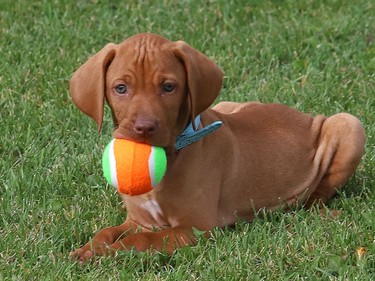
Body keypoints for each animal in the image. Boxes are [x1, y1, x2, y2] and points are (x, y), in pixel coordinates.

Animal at [69, 33, 366, 262]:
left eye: (168, 87)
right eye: (120, 88)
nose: (144, 128)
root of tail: (304, 116)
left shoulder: (194, 228)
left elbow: (142, 240)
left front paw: (106, 252)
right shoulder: (139, 220)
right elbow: (108, 231)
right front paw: (90, 248)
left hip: (349, 125)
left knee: (319, 195)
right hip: (228, 105)